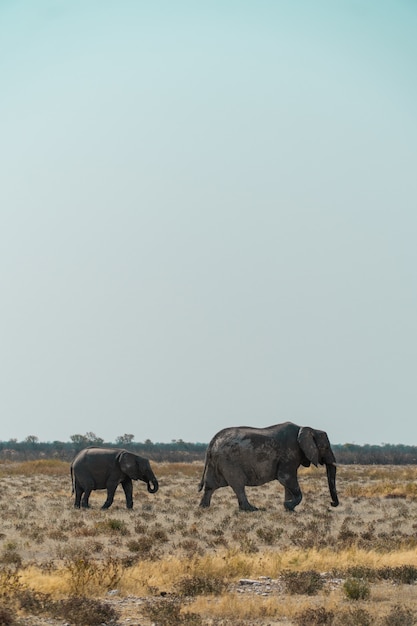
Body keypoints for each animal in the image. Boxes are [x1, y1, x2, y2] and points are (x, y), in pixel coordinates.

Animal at [198, 420, 338, 512]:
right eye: (326, 447)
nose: (332, 503)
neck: (306, 428)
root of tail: (212, 441)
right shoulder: (289, 454)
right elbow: (286, 478)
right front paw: (288, 505)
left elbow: (287, 483)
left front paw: (288, 508)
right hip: (229, 461)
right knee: (238, 485)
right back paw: (252, 509)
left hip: (216, 462)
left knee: (210, 485)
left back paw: (203, 508)